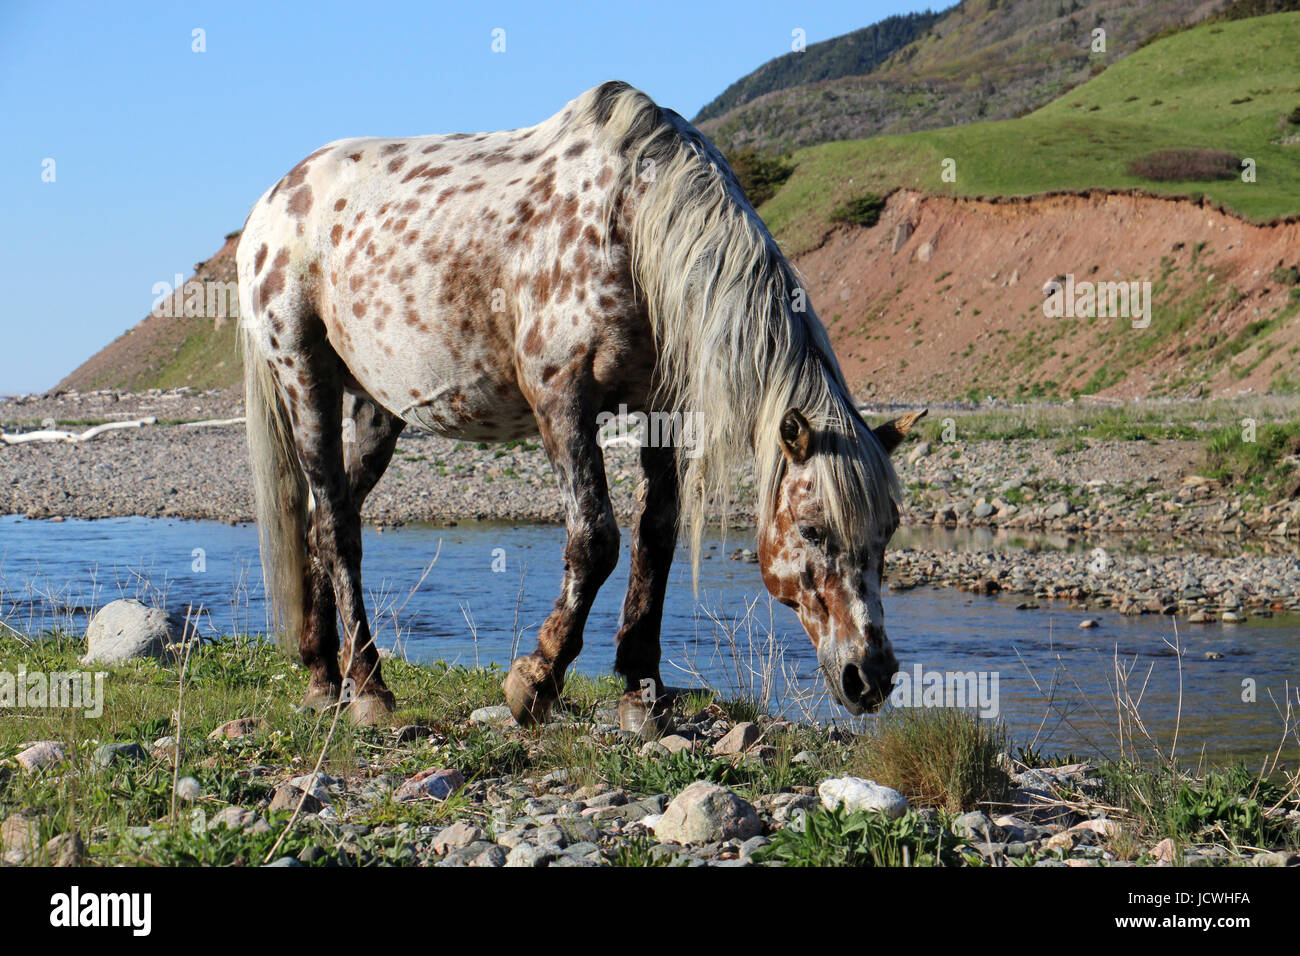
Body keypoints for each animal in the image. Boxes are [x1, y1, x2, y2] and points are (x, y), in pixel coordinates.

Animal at [236, 80, 925, 730]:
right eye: (811, 529)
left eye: (889, 529)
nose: (872, 677)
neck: (631, 225)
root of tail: (272, 201)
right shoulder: (561, 397)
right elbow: (595, 539)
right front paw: (535, 680)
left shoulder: (665, 411)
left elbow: (656, 539)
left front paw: (642, 693)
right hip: (305, 378)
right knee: (336, 525)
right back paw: (369, 687)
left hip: (379, 410)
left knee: (325, 519)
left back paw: (323, 676)